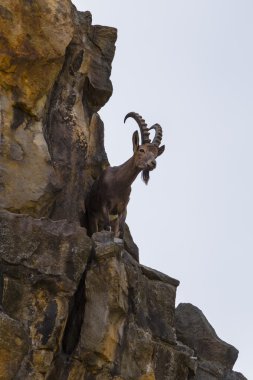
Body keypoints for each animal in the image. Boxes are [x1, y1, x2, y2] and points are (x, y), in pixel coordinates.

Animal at [86, 111, 165, 239]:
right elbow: (107, 227)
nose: (153, 163)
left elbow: (120, 232)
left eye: (156, 154)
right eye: (141, 150)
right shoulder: (104, 206)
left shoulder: (122, 209)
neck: (119, 183)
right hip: (93, 217)